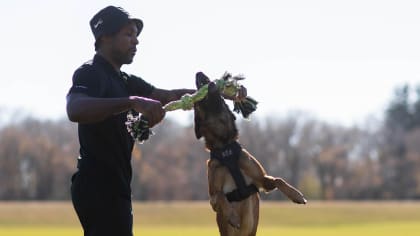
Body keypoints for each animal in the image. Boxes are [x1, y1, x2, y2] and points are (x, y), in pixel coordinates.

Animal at [193, 72, 306, 236]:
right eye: (196, 103)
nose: (199, 73)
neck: (225, 147)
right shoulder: (212, 199)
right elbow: (221, 196)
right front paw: (233, 217)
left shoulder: (261, 181)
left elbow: (278, 180)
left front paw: (296, 195)